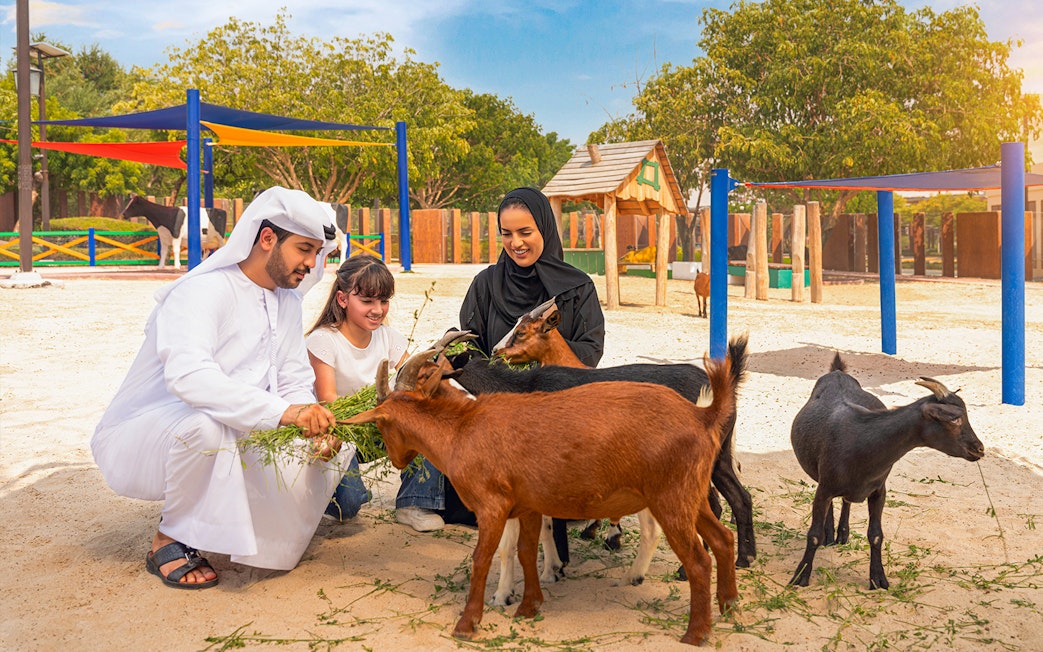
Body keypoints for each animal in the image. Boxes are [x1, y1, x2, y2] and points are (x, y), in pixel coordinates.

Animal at [345, 344, 740, 646]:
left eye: (382, 424)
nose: (397, 460)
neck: (461, 430)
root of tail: (702, 416)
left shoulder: (491, 507)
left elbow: (483, 559)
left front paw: (468, 623)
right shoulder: (527, 506)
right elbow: (524, 552)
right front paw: (528, 606)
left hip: (670, 500)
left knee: (698, 561)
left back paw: (696, 632)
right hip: (690, 497)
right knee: (723, 539)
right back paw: (729, 606)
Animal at [493, 298, 757, 571]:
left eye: (521, 332)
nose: (495, 352)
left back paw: (688, 569)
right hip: (719, 455)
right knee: (739, 497)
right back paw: (744, 558)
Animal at [788, 353, 985, 589]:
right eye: (955, 419)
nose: (979, 449)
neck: (863, 441)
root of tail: (837, 372)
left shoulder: (878, 491)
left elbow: (875, 535)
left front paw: (878, 578)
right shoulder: (825, 489)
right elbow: (814, 535)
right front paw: (800, 575)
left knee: (846, 501)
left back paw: (842, 533)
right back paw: (830, 533)